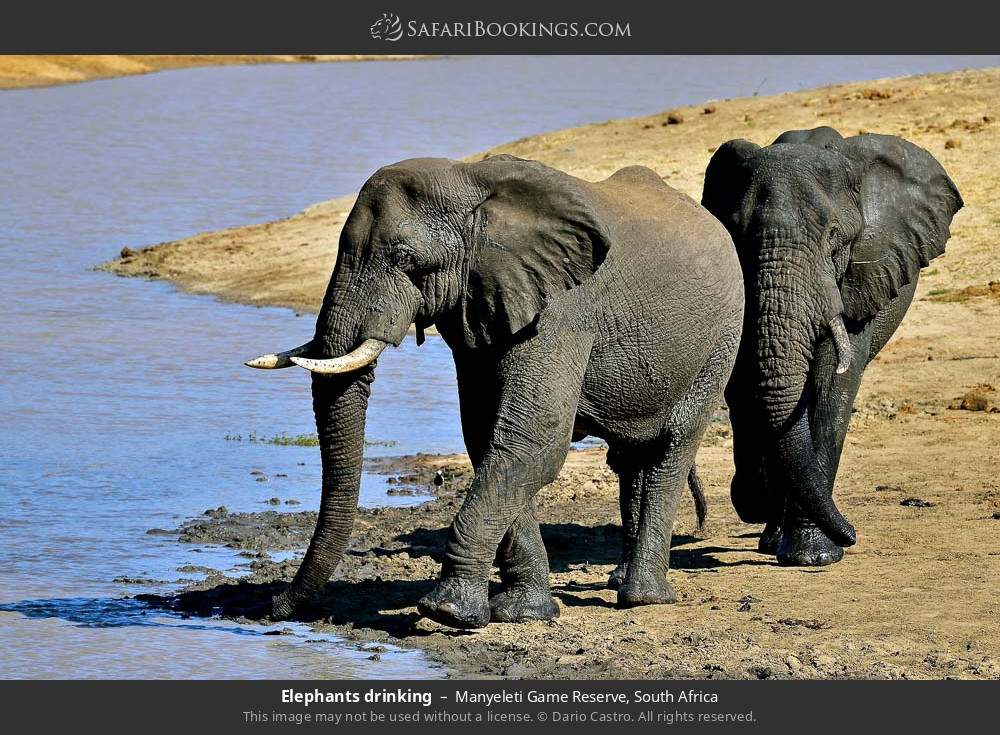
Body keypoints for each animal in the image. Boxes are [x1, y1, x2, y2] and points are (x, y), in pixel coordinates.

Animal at [248, 154, 744, 628]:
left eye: (405, 258)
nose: (274, 606)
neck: (470, 181)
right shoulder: (478, 310)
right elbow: (488, 439)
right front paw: (523, 614)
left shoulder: (563, 311)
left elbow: (532, 442)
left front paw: (446, 613)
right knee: (631, 456)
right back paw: (624, 582)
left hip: (720, 339)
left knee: (671, 447)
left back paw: (643, 598)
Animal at [700, 126, 964, 568]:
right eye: (737, 235)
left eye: (834, 238)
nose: (853, 533)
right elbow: (749, 385)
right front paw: (760, 499)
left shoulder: (859, 279)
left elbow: (831, 385)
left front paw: (815, 557)